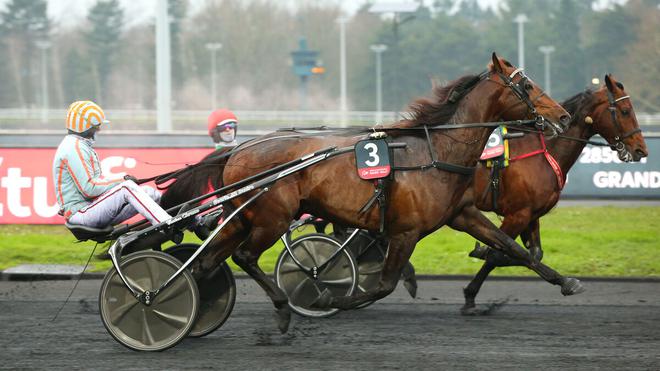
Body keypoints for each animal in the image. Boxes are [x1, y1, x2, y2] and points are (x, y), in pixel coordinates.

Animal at [183, 51, 576, 332]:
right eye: (527, 86)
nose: (563, 115)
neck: (437, 153)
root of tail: (239, 150)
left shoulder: (463, 214)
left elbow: (512, 248)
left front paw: (567, 282)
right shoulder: (405, 232)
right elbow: (383, 285)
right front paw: (325, 299)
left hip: (241, 217)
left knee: (207, 260)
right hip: (272, 217)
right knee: (244, 256)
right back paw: (280, 308)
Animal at [454, 73, 648, 314]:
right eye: (625, 111)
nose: (641, 150)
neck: (544, 152)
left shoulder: (531, 215)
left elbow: (533, 254)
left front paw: (481, 253)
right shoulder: (517, 214)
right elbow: (500, 252)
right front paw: (470, 294)